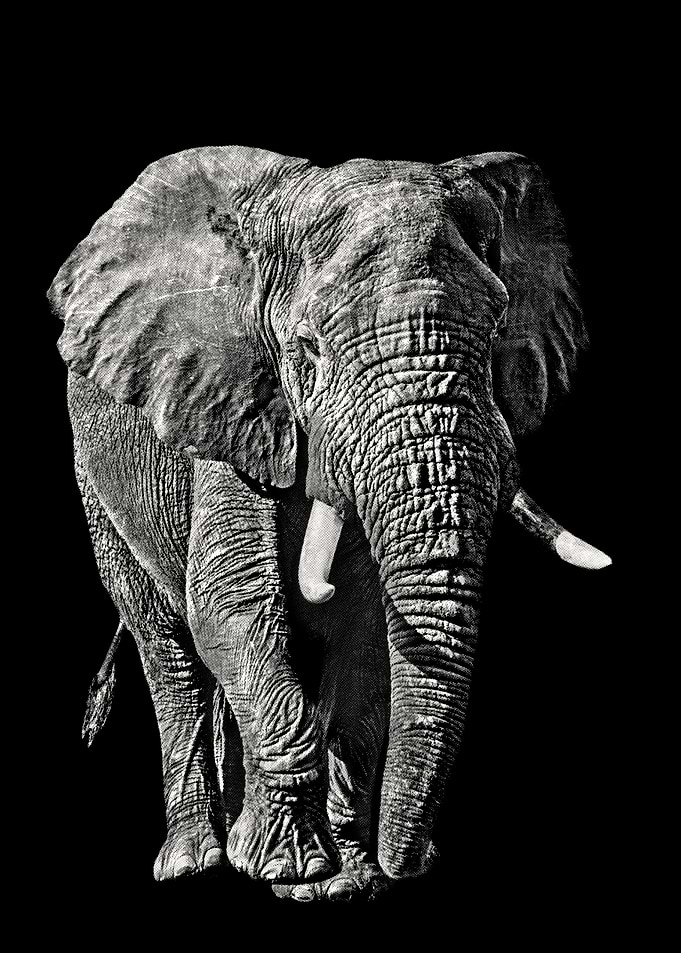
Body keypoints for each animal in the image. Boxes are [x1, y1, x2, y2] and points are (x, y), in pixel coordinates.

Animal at [48, 145, 611, 901]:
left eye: (496, 328)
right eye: (308, 349)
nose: (421, 860)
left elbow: (368, 628)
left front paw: (349, 880)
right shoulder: (231, 403)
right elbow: (232, 605)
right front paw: (294, 869)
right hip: (96, 476)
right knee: (167, 646)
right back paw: (200, 860)